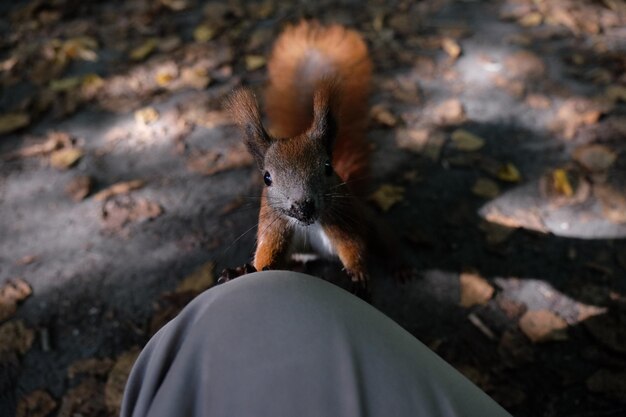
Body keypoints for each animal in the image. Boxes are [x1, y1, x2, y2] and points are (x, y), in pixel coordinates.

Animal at [229, 22, 376, 286]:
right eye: (267, 178)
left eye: (328, 167)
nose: (303, 206)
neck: (308, 224)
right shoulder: (274, 225)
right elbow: (267, 256)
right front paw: (243, 271)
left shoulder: (341, 219)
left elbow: (353, 246)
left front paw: (357, 272)